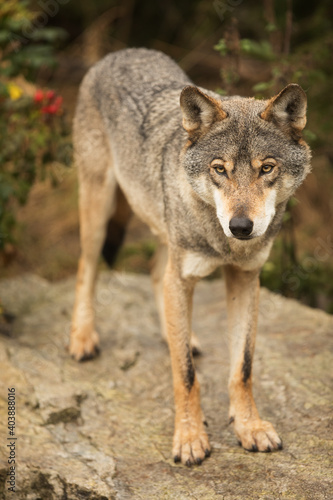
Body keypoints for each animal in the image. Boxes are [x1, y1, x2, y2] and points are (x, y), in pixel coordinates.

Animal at [68, 48, 310, 466]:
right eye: (220, 170)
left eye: (267, 168)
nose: (241, 226)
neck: (224, 244)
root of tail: (121, 52)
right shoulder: (184, 276)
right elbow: (186, 374)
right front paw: (190, 437)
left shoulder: (245, 278)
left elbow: (242, 367)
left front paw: (249, 427)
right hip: (99, 209)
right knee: (87, 268)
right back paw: (83, 338)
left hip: (165, 237)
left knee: (154, 274)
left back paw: (178, 334)